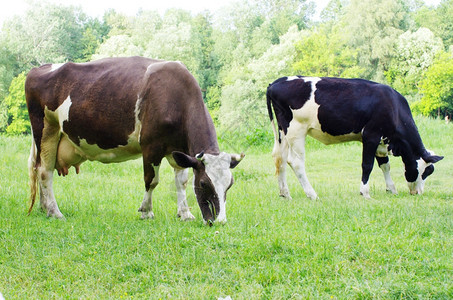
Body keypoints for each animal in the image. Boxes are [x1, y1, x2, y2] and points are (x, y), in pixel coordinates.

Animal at [24, 57, 244, 224]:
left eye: (230, 184)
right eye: (205, 184)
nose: (220, 221)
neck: (176, 97)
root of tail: (39, 68)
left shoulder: (178, 150)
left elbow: (181, 181)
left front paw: (185, 213)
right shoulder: (151, 146)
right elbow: (151, 180)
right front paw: (146, 211)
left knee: (40, 169)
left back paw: (44, 208)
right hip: (46, 129)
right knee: (44, 172)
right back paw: (54, 211)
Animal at [264, 76, 442, 200]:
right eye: (426, 172)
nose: (418, 193)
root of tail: (277, 82)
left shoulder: (381, 141)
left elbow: (385, 165)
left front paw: (391, 189)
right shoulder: (371, 135)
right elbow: (367, 165)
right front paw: (365, 192)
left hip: (283, 132)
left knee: (280, 159)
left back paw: (285, 193)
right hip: (296, 130)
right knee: (295, 162)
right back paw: (312, 194)